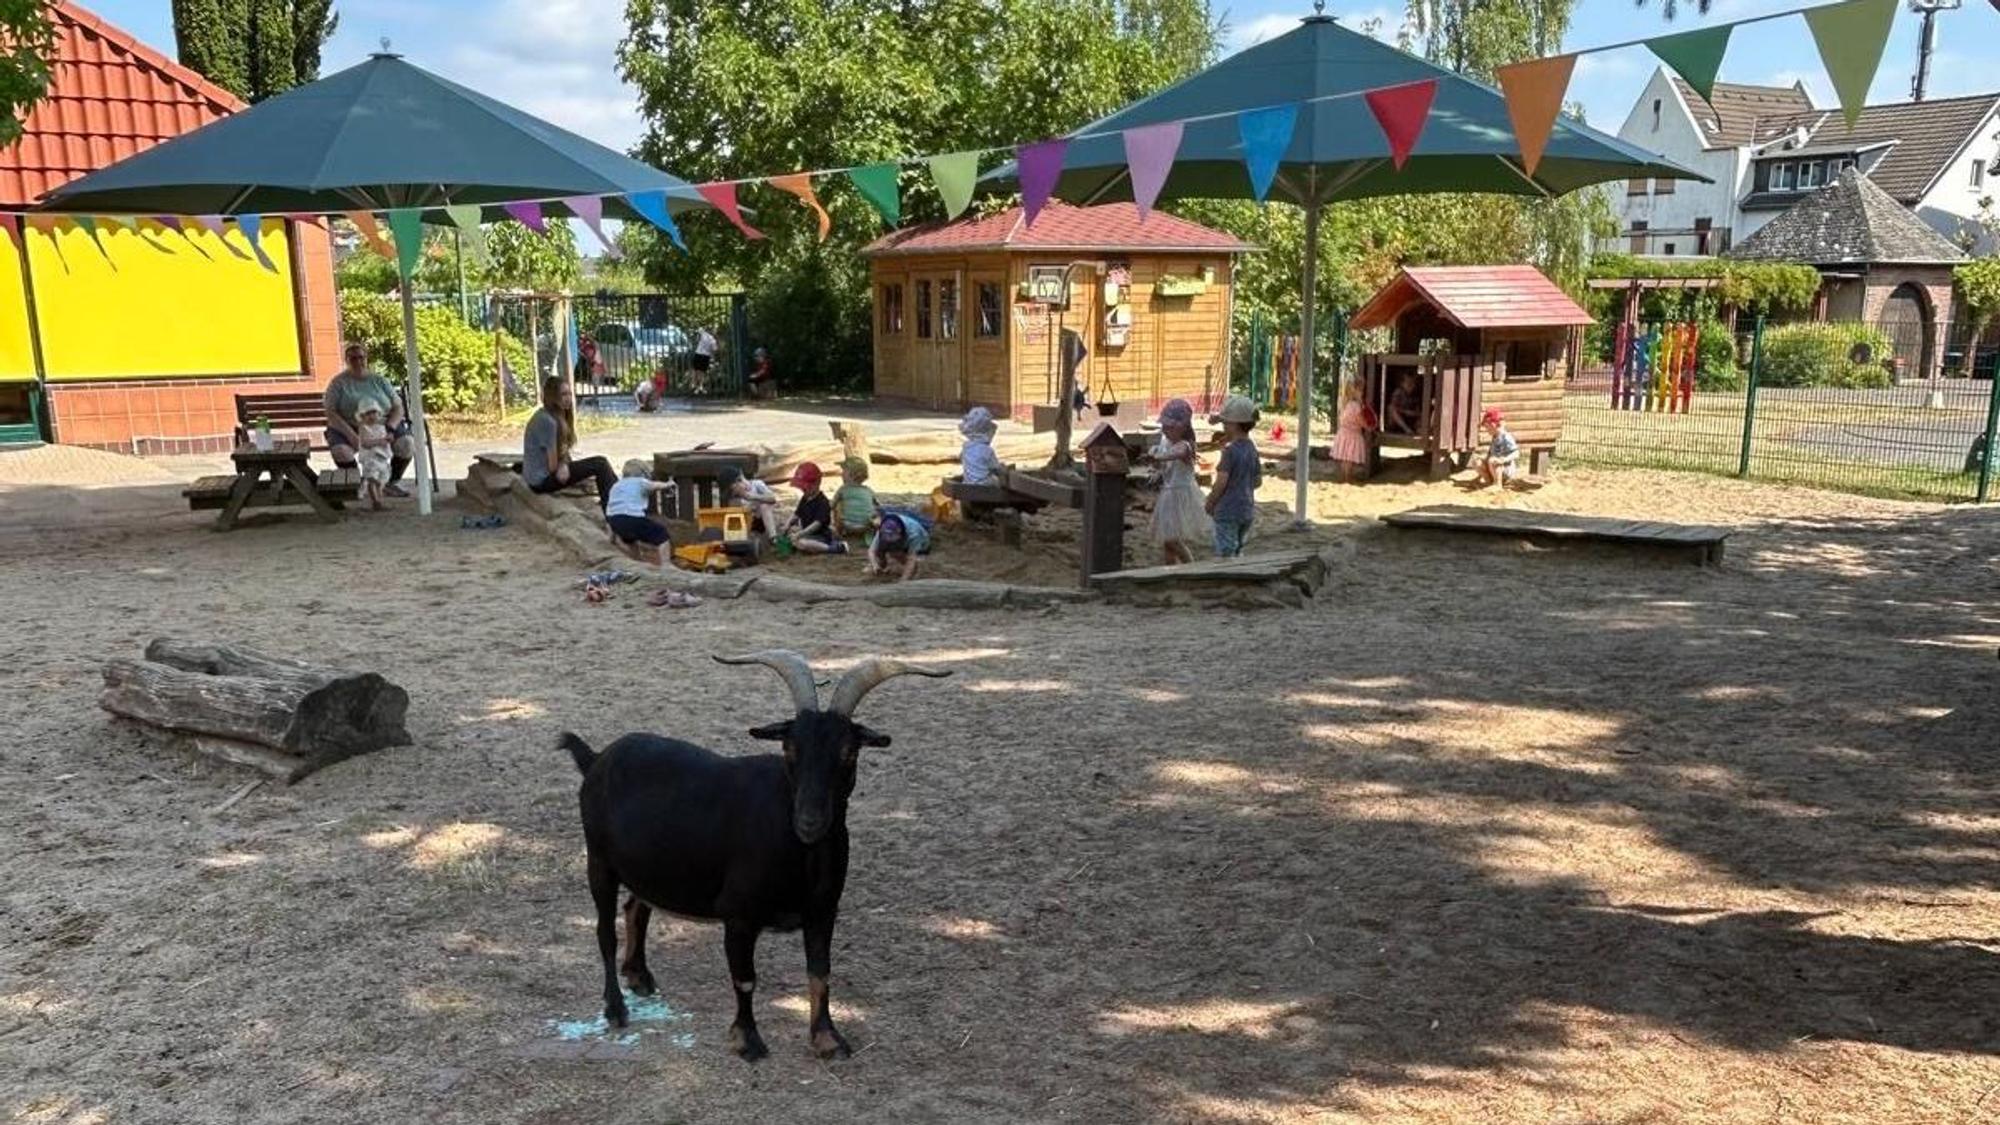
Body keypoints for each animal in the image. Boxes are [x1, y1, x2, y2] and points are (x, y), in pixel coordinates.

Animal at [559, 651, 949, 1061]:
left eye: (849, 752)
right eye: (790, 748)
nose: (809, 821)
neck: (801, 854)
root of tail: (597, 759)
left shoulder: (823, 911)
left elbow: (820, 973)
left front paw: (828, 1038)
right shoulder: (739, 915)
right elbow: (745, 978)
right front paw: (747, 1040)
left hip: (649, 867)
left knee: (636, 908)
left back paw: (639, 976)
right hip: (599, 861)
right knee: (604, 931)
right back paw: (616, 1008)